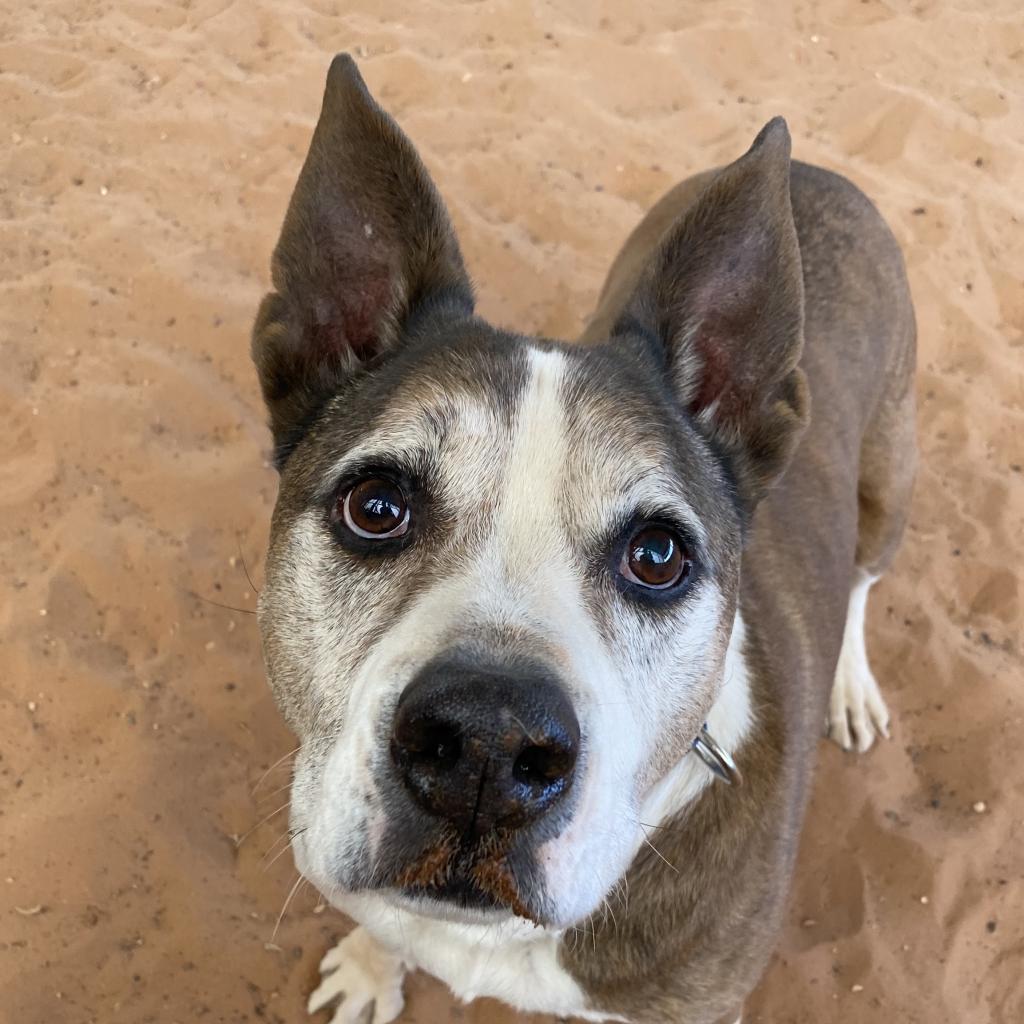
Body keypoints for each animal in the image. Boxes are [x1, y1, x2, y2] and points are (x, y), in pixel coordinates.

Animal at [249, 54, 921, 1024]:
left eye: (658, 556)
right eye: (374, 506)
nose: (487, 745)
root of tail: (816, 171)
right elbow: (385, 922)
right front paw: (374, 969)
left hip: (889, 479)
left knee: (866, 579)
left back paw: (852, 685)